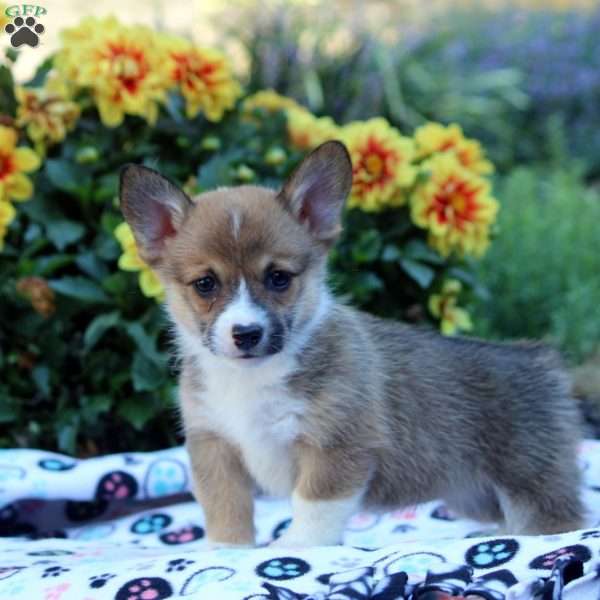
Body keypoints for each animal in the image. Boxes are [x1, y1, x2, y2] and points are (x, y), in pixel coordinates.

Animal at [119, 141, 584, 548]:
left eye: (279, 278)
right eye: (205, 284)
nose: (246, 333)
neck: (253, 379)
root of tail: (540, 359)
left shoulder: (338, 445)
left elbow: (313, 505)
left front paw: (296, 548)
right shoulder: (215, 446)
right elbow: (225, 507)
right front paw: (228, 552)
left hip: (528, 481)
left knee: (557, 522)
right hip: (471, 493)